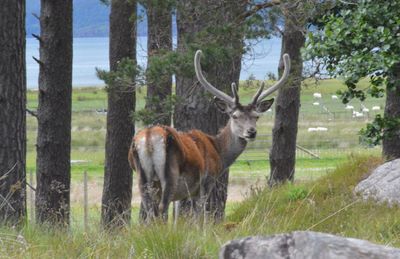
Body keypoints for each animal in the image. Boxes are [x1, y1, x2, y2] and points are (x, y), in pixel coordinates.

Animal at [129, 50, 290, 223]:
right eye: (234, 116)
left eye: (256, 116)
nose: (251, 132)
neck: (218, 151)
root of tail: (148, 137)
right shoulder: (206, 182)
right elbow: (200, 217)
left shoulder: (184, 193)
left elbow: (178, 216)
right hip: (169, 174)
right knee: (161, 209)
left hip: (142, 177)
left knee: (149, 210)